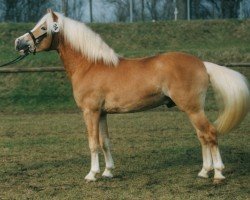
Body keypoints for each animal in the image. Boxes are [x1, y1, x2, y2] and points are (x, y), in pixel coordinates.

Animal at [14, 9, 249, 182]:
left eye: (43, 28)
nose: (19, 43)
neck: (90, 65)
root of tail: (202, 64)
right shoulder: (102, 113)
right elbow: (105, 142)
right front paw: (108, 172)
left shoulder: (90, 112)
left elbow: (93, 143)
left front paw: (92, 174)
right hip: (192, 110)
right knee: (202, 136)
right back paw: (204, 171)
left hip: (192, 109)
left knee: (210, 133)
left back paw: (218, 173)